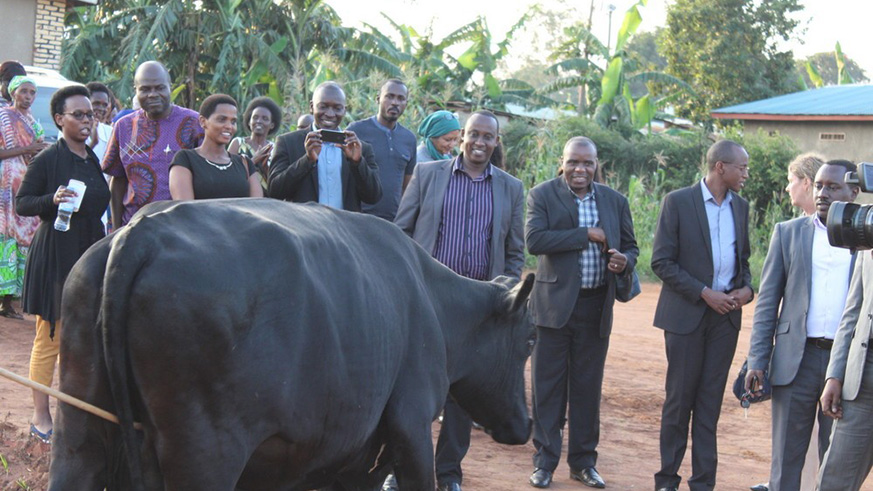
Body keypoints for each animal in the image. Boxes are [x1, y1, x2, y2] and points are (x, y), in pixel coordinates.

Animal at [52, 201, 540, 491]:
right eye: (531, 339)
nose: (527, 424)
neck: (434, 303)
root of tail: (141, 231)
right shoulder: (410, 426)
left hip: (79, 428)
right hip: (205, 454)